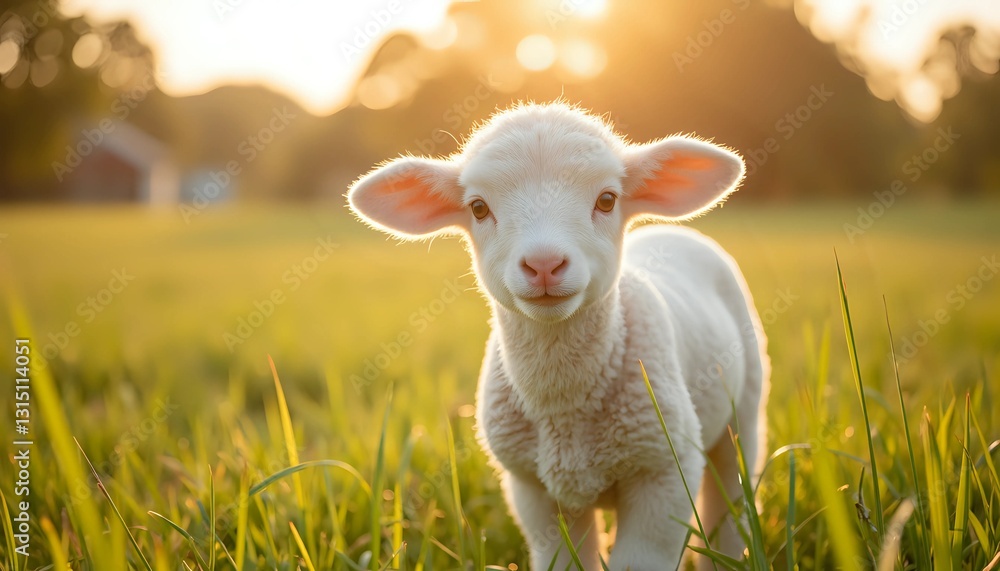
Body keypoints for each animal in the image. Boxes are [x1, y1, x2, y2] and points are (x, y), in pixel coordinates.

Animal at [347, 102, 769, 571]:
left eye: (607, 200)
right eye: (478, 208)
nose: (544, 264)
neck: (565, 409)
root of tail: (674, 231)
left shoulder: (662, 474)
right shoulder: (531, 488)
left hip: (744, 409)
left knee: (730, 501)